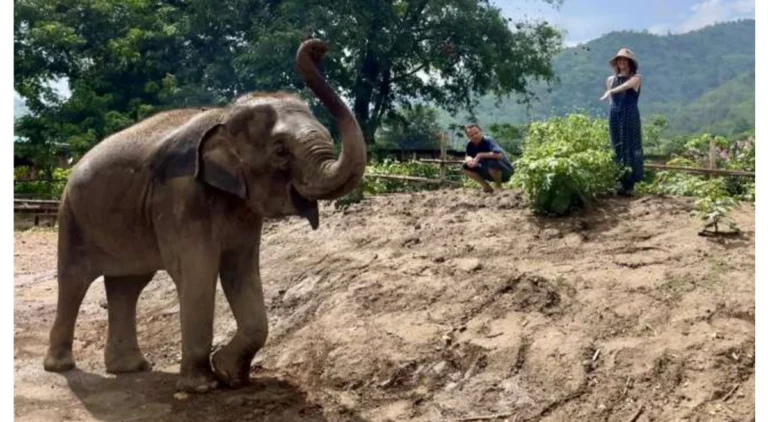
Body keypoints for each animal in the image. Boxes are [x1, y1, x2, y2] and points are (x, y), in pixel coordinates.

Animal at [42, 39, 367, 393]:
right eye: (281, 150)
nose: (319, 47)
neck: (225, 115)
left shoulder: (241, 210)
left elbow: (241, 270)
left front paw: (230, 375)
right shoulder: (182, 196)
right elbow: (198, 270)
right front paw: (201, 386)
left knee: (127, 285)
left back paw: (131, 368)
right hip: (72, 215)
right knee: (74, 280)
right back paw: (60, 366)